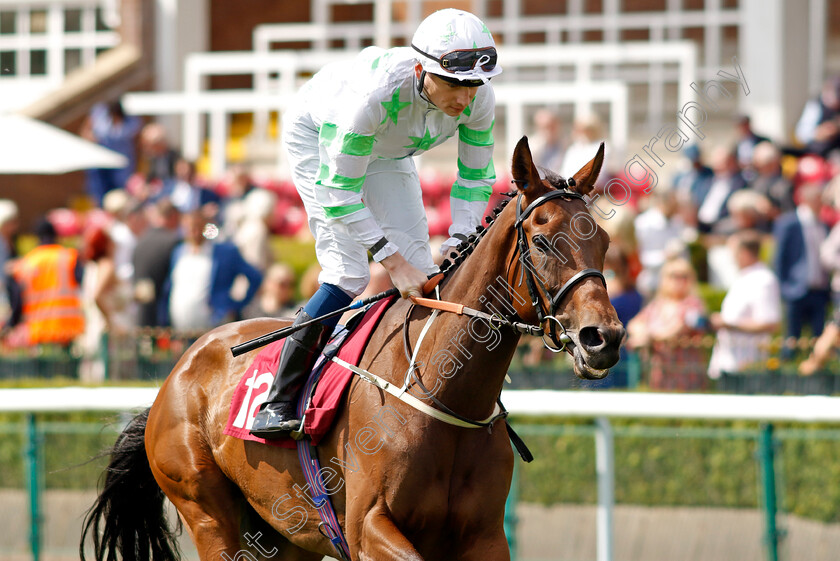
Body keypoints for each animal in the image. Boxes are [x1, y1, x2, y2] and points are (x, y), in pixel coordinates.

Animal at [82, 138, 624, 560]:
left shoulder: (484, 537)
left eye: (603, 241)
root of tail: (179, 370)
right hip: (207, 511)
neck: (443, 394)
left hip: (284, 534)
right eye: (543, 242)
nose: (604, 338)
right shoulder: (369, 527)